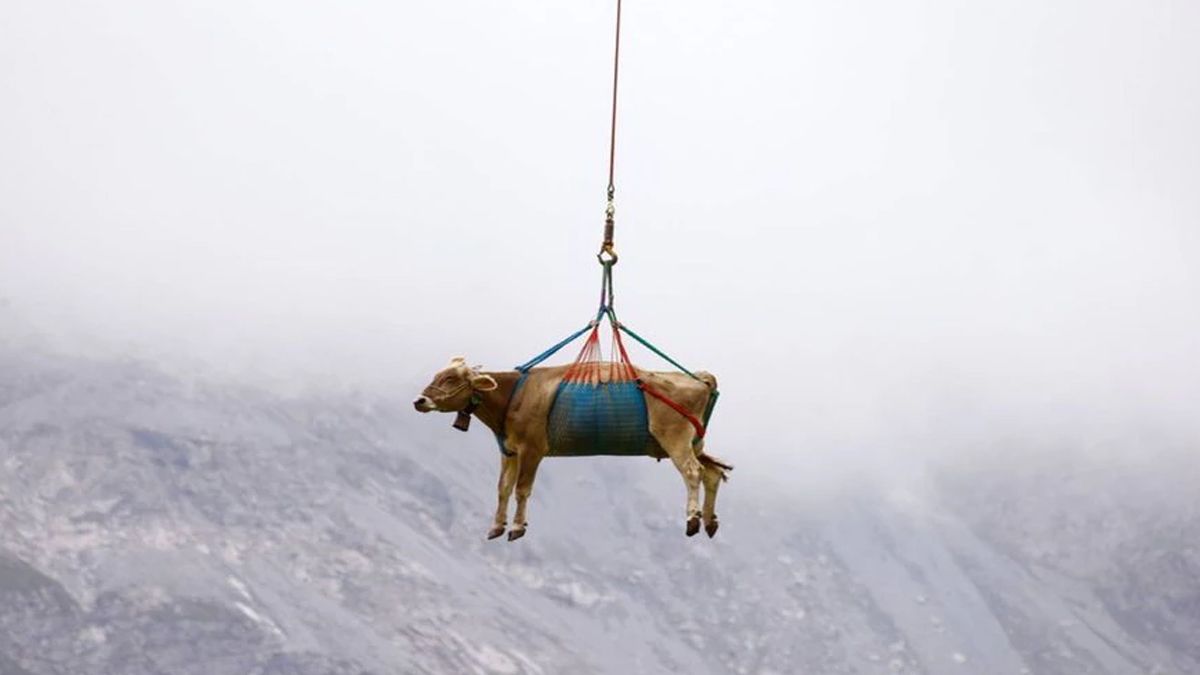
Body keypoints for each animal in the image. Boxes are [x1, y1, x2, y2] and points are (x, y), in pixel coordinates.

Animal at [413, 357, 731, 541]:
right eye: (437, 374)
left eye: (451, 379)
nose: (419, 400)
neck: (514, 395)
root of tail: (699, 378)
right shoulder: (509, 450)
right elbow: (502, 488)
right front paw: (496, 526)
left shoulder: (533, 448)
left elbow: (522, 489)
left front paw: (517, 527)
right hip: (692, 442)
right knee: (712, 472)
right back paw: (710, 521)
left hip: (675, 437)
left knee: (693, 472)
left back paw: (693, 518)